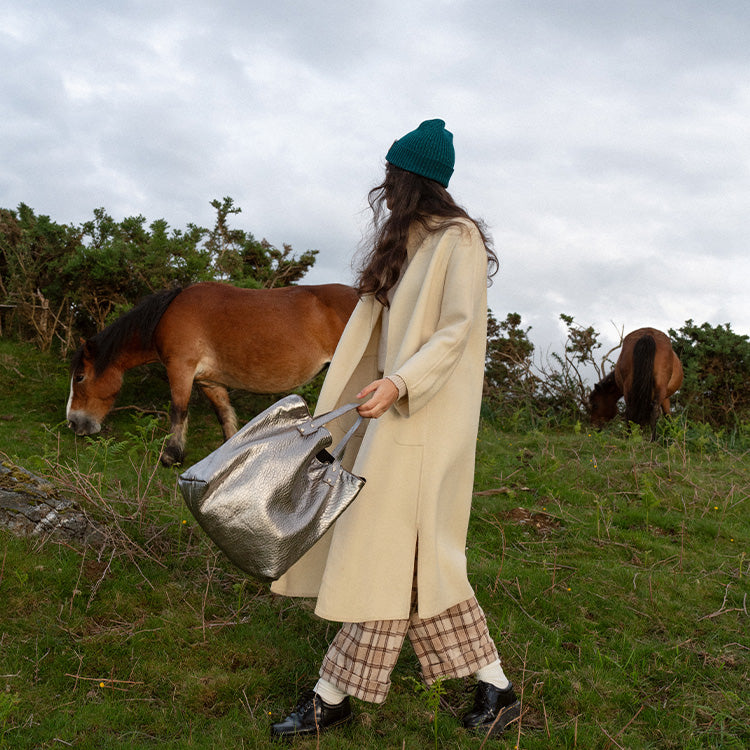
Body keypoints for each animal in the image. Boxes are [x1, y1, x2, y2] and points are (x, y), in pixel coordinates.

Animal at [66, 284, 360, 468]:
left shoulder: (181, 368)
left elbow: (178, 411)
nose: (73, 423)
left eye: (80, 377)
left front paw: (171, 456)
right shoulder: (209, 381)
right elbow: (225, 416)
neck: (167, 315)